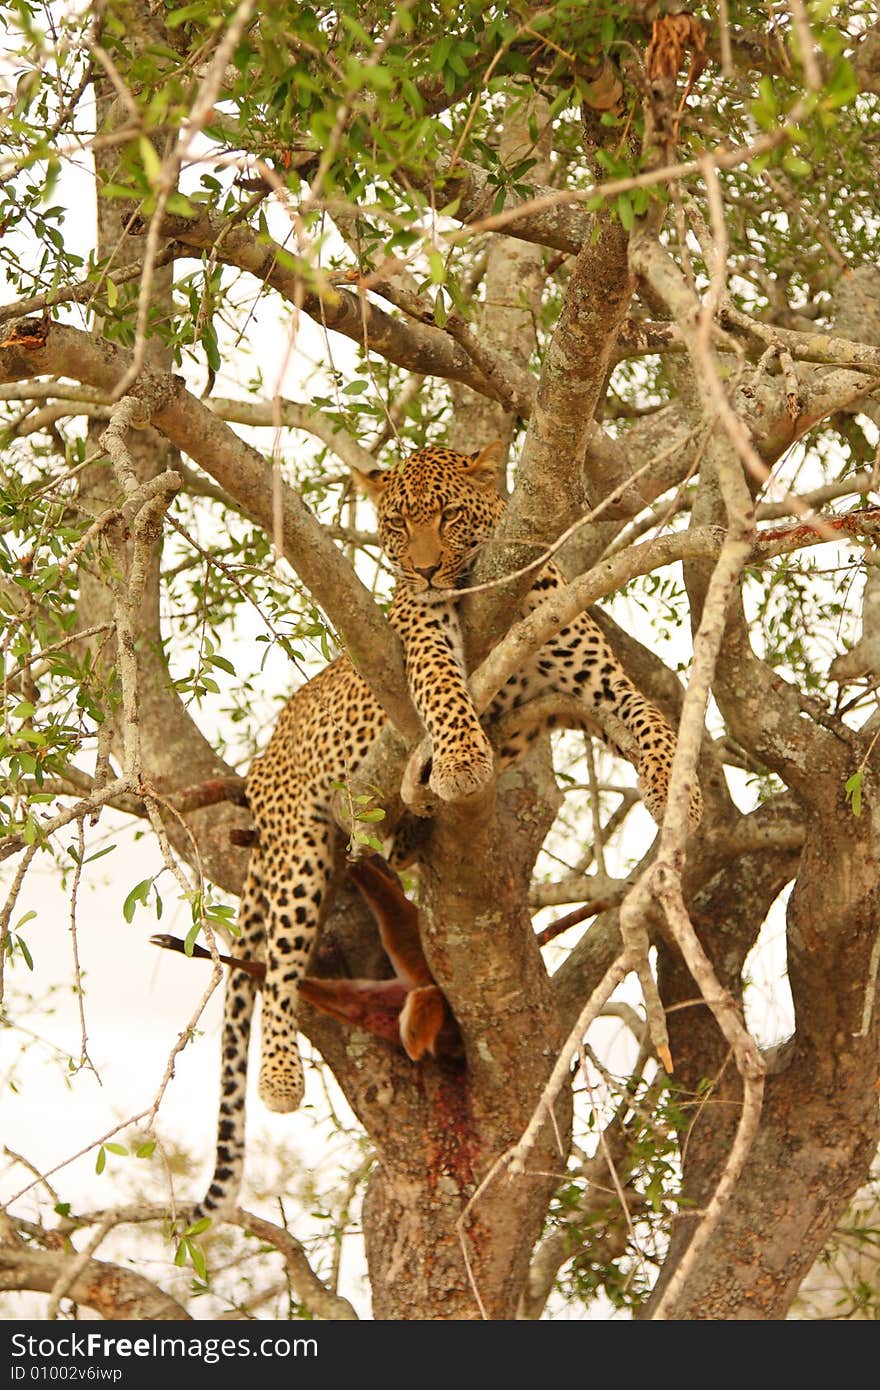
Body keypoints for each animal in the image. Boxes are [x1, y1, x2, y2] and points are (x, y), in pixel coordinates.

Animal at [197, 442, 700, 1217]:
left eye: (446, 515)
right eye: (399, 524)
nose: (428, 569)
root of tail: (267, 755)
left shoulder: (593, 685)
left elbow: (648, 717)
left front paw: (678, 789)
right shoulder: (423, 631)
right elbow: (441, 686)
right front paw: (463, 760)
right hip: (298, 846)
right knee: (278, 965)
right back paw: (281, 1074)